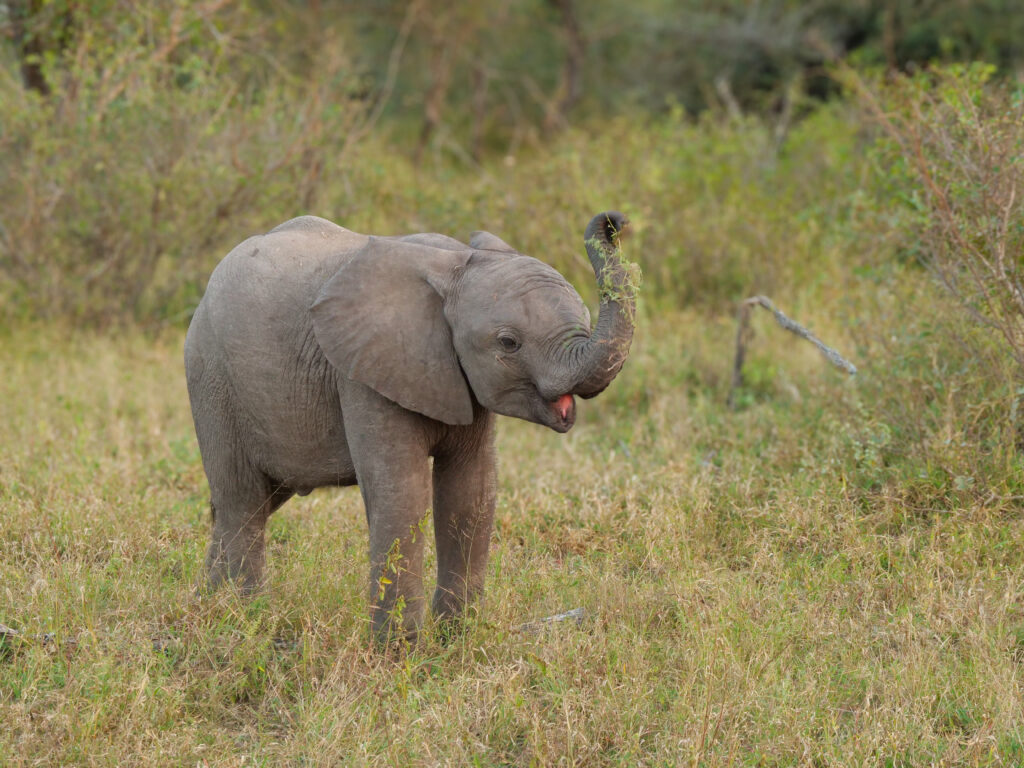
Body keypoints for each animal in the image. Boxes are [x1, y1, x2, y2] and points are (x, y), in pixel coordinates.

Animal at [184, 210, 638, 643]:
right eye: (508, 343)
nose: (613, 222)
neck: (455, 265)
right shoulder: (363, 372)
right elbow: (403, 494)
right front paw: (401, 652)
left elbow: (471, 494)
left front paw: (457, 641)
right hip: (212, 377)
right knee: (242, 499)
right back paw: (240, 616)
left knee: (256, 500)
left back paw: (210, 602)